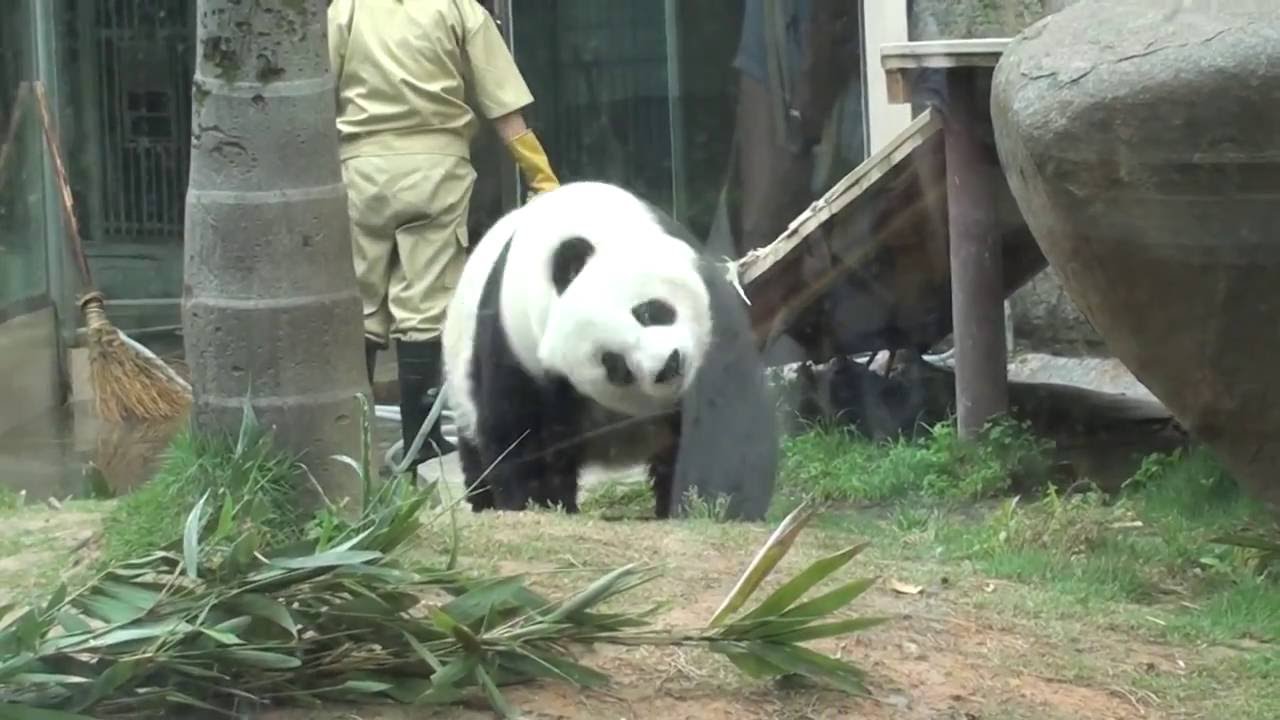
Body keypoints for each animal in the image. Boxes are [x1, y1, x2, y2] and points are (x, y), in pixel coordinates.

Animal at [441, 181, 778, 520]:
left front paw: (721, 503)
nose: (668, 366)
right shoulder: (516, 344)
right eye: (614, 364)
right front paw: (538, 504)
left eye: (648, 312)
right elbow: (519, 434)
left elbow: (728, 413)